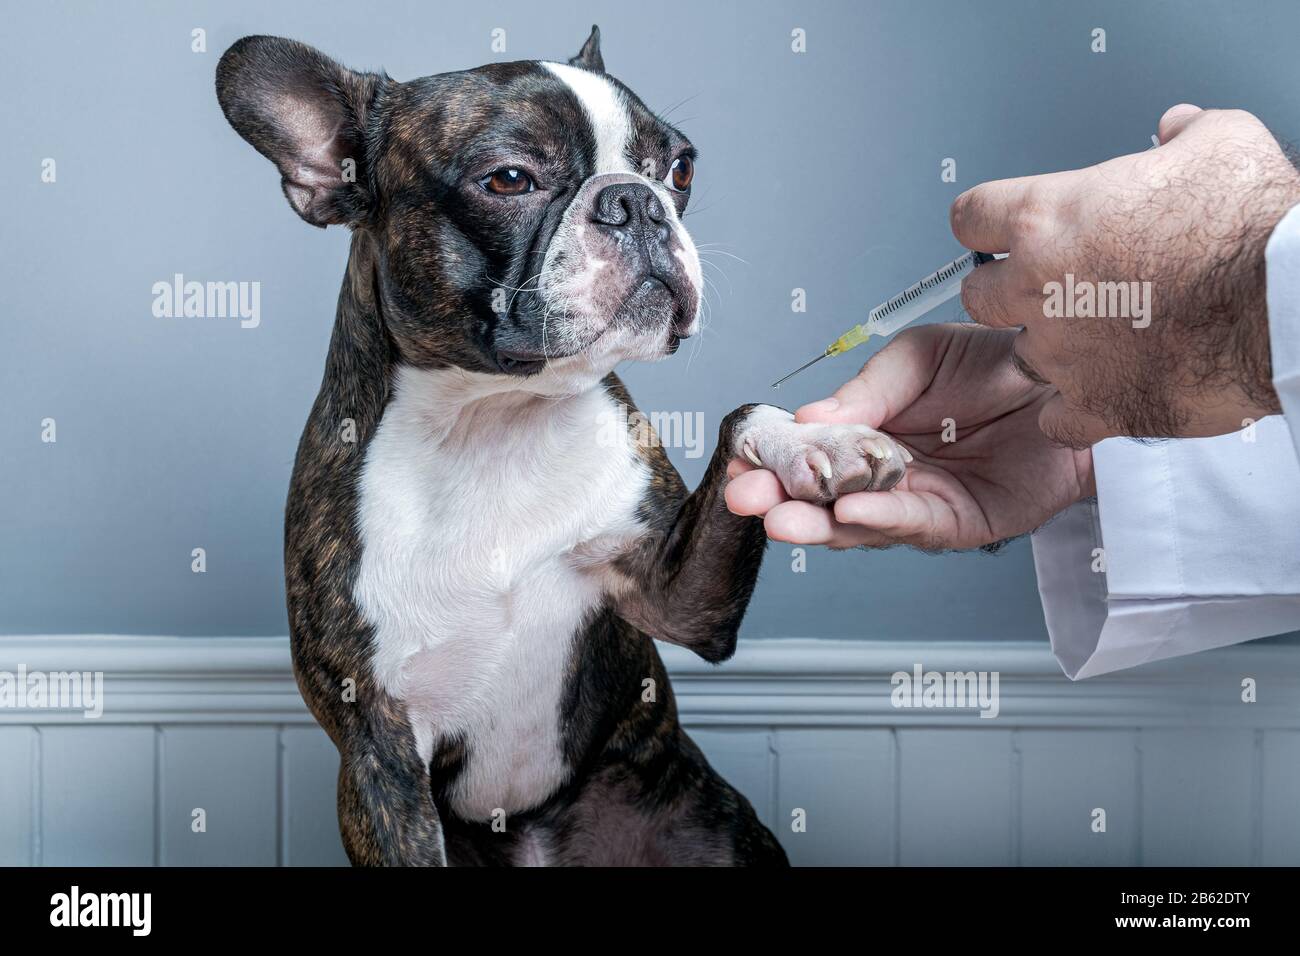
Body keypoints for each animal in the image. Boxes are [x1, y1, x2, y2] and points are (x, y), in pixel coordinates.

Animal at [215, 24, 904, 868]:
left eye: (679, 168)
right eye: (510, 179)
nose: (635, 200)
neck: (495, 418)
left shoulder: (678, 601)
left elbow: (741, 417)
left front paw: (814, 440)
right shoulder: (377, 751)